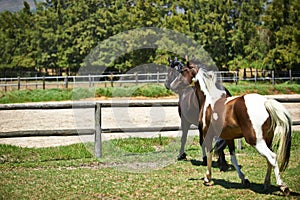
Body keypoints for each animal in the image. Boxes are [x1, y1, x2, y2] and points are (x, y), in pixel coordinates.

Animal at [192, 66, 292, 195]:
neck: (209, 100)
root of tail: (265, 102)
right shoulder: (229, 138)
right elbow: (233, 158)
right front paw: (244, 179)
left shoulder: (207, 135)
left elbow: (209, 154)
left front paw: (207, 178)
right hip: (267, 140)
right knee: (268, 160)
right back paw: (266, 184)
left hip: (256, 141)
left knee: (272, 157)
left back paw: (283, 186)